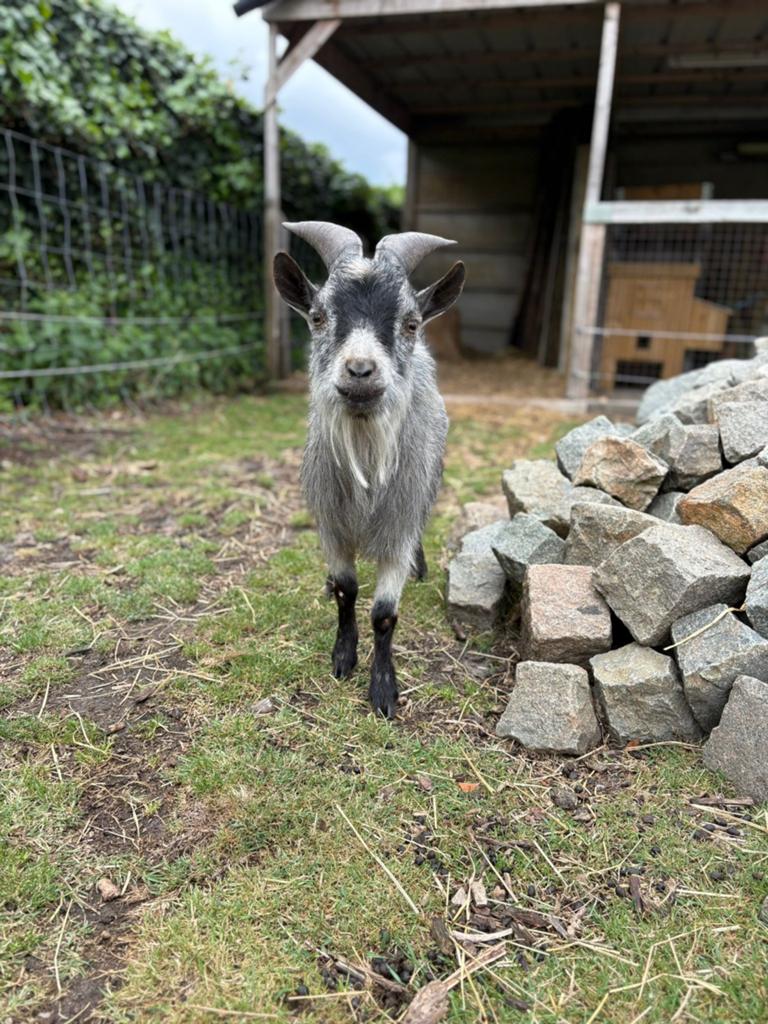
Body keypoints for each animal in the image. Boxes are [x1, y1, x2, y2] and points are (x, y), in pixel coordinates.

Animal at [273, 221, 465, 718]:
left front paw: (382, 690)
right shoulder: (332, 527)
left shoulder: (397, 527)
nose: (360, 370)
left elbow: (384, 614)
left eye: (410, 322)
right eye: (317, 317)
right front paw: (343, 656)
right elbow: (346, 590)